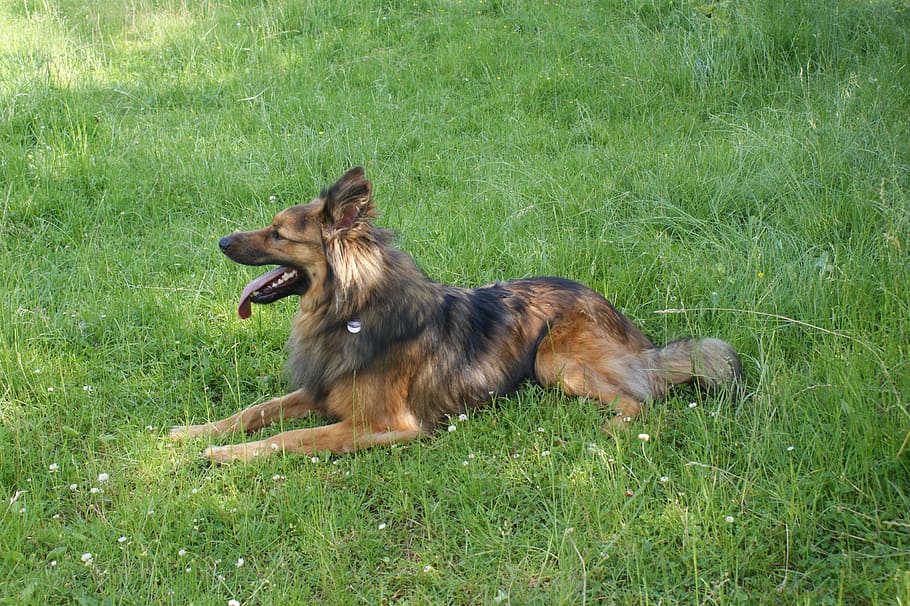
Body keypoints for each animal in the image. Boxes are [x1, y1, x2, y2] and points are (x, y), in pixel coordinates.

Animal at [169, 169, 740, 464]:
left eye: (278, 234)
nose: (221, 242)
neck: (352, 310)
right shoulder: (319, 390)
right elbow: (257, 410)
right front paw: (197, 432)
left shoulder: (387, 425)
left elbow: (292, 439)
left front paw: (229, 455)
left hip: (554, 360)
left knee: (641, 400)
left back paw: (610, 429)